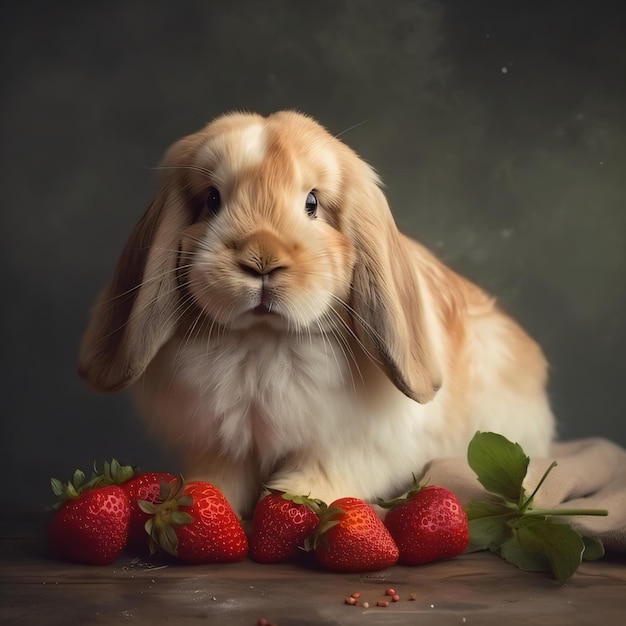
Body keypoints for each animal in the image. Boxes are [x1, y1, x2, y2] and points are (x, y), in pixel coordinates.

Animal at [77, 111, 552, 516]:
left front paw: (298, 496)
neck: (263, 340)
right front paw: (202, 497)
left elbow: (324, 470)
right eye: (212, 199)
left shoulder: (351, 444)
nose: (262, 259)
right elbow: (220, 477)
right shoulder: (222, 445)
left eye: (312, 203)